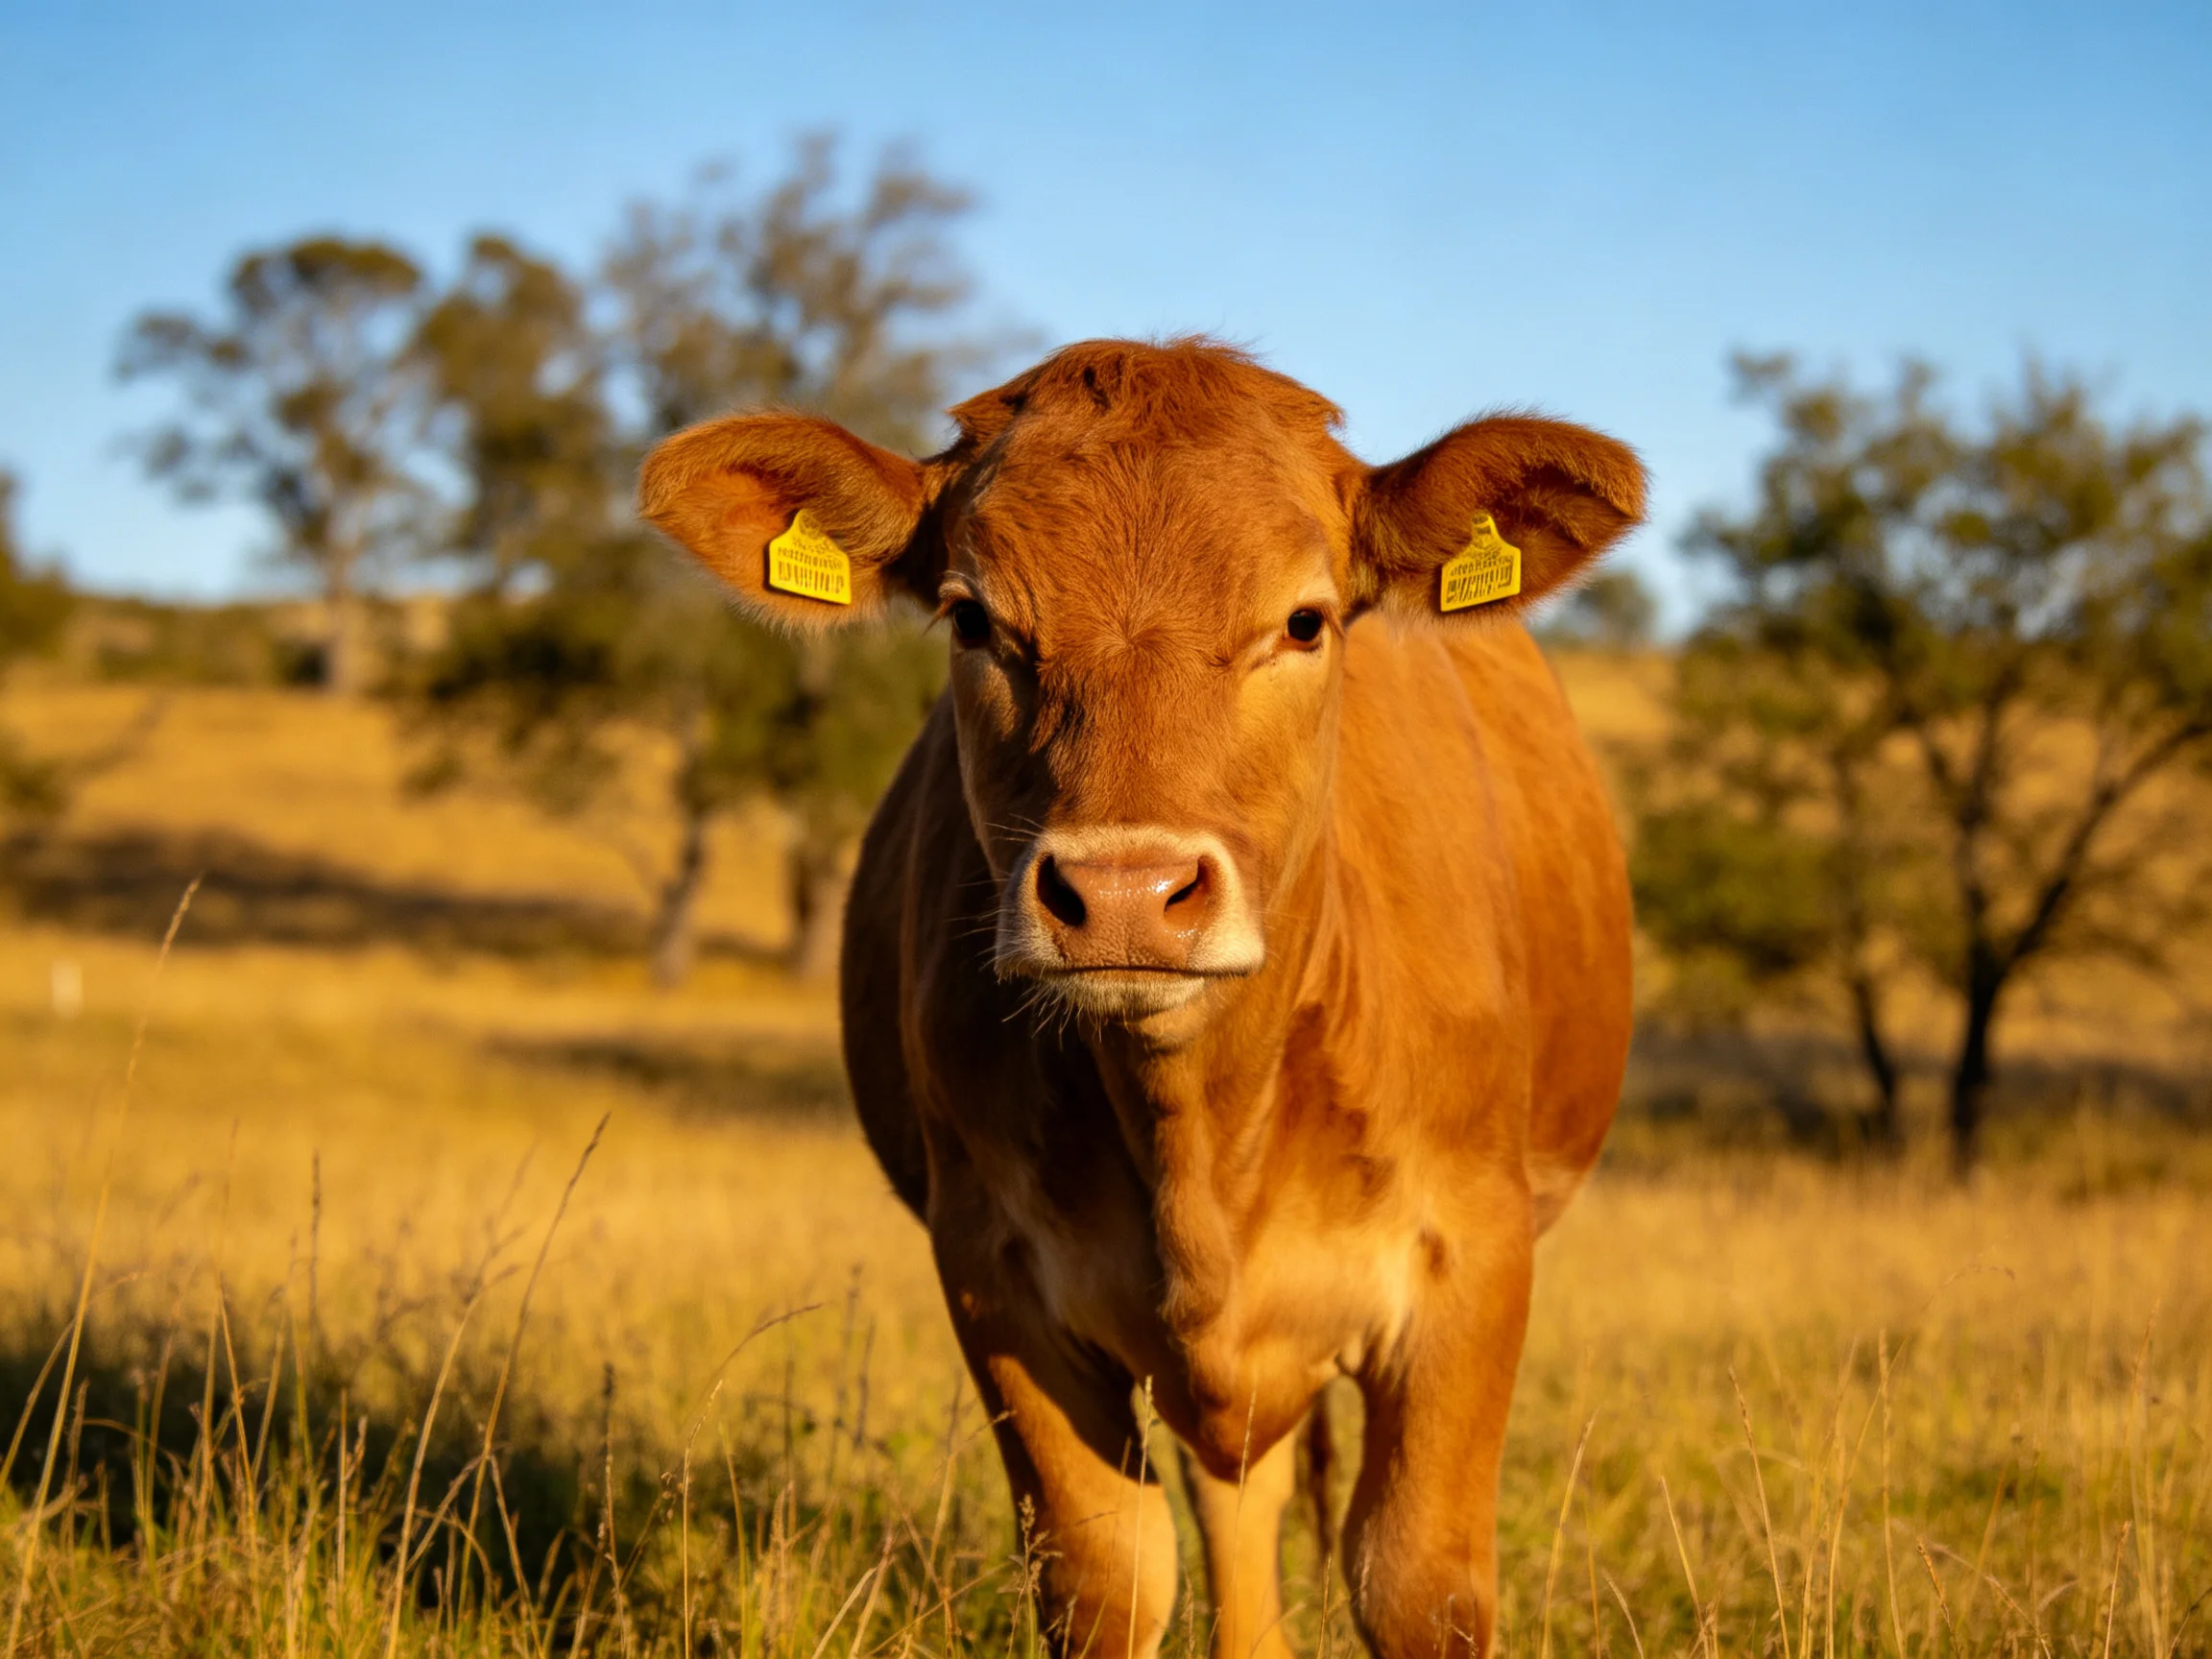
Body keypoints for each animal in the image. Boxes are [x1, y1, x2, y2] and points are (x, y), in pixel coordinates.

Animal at [640, 339, 1643, 1659]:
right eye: (973, 619)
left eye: (1306, 621)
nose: (1124, 893)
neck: (1204, 1136)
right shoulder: (995, 1268)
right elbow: (1106, 1577)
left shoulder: (1470, 1258)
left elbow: (1417, 1583)